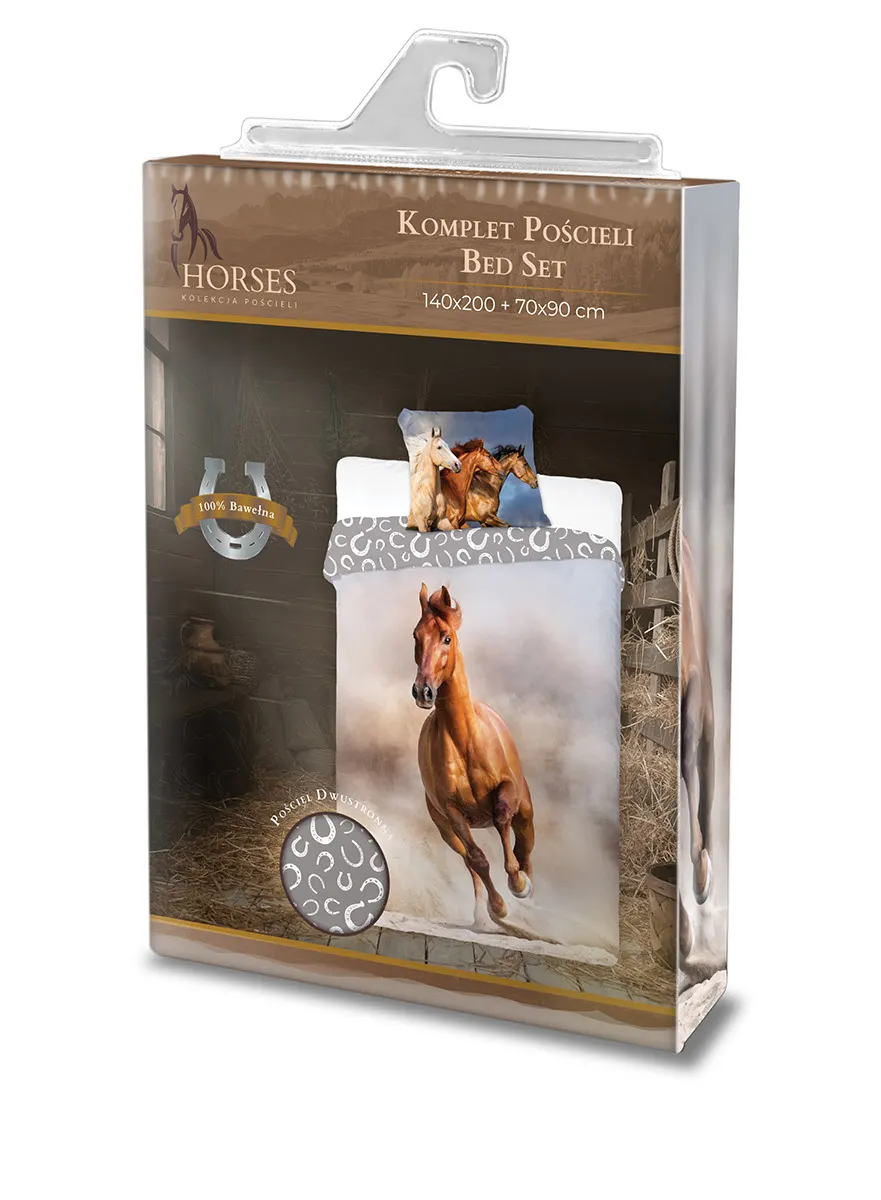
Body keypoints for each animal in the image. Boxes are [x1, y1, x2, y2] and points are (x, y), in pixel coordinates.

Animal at [412, 583, 535, 927]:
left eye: (446, 637)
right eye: (416, 636)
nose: (423, 691)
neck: (464, 738)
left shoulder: (508, 791)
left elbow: (502, 817)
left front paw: (518, 883)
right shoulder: (452, 813)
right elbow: (478, 860)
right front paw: (498, 908)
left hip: (527, 811)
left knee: (525, 845)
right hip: (446, 831)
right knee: (469, 862)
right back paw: (483, 915)